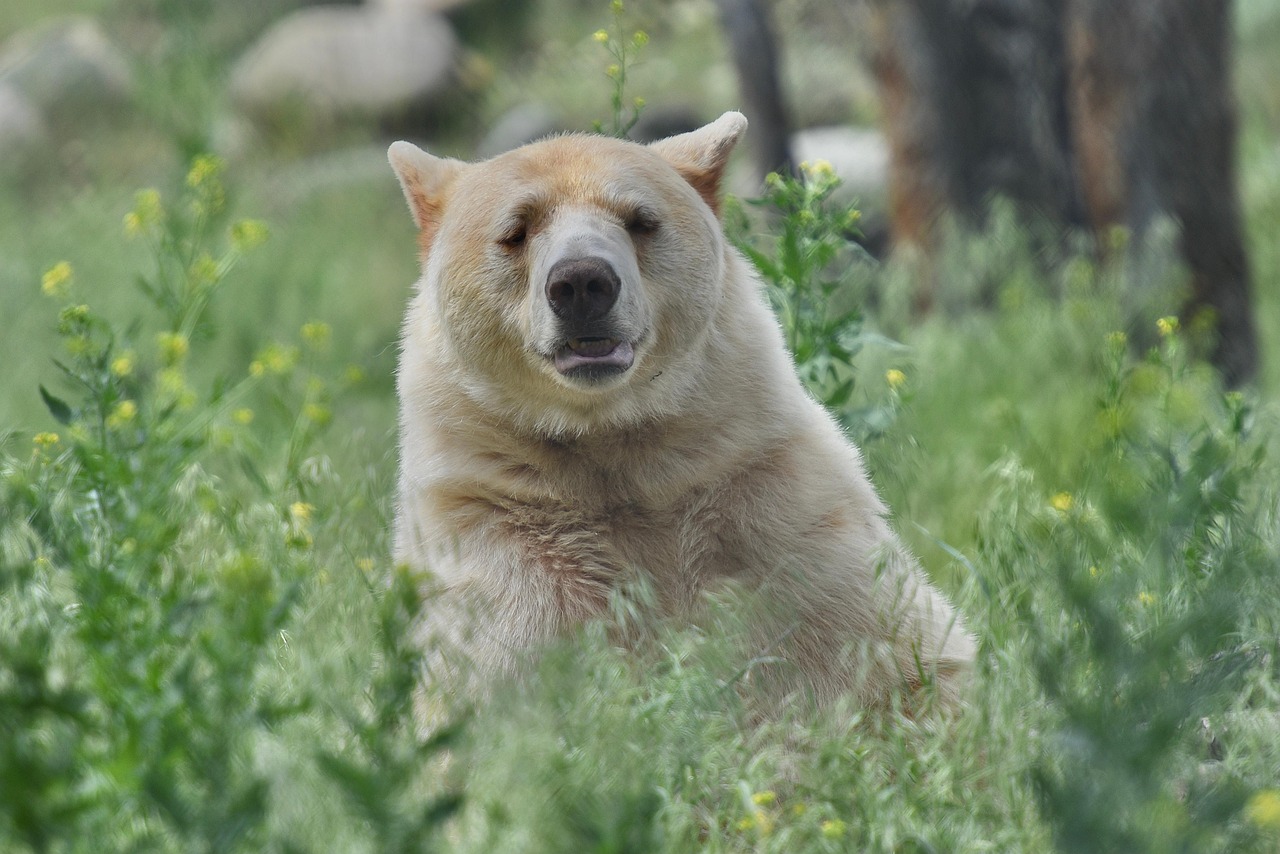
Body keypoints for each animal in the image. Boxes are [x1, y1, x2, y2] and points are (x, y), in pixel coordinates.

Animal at [387, 112, 975, 710]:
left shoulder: (773, 503)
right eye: (516, 230)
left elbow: (897, 648)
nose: (582, 282)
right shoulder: (496, 532)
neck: (614, 444)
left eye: (641, 219)